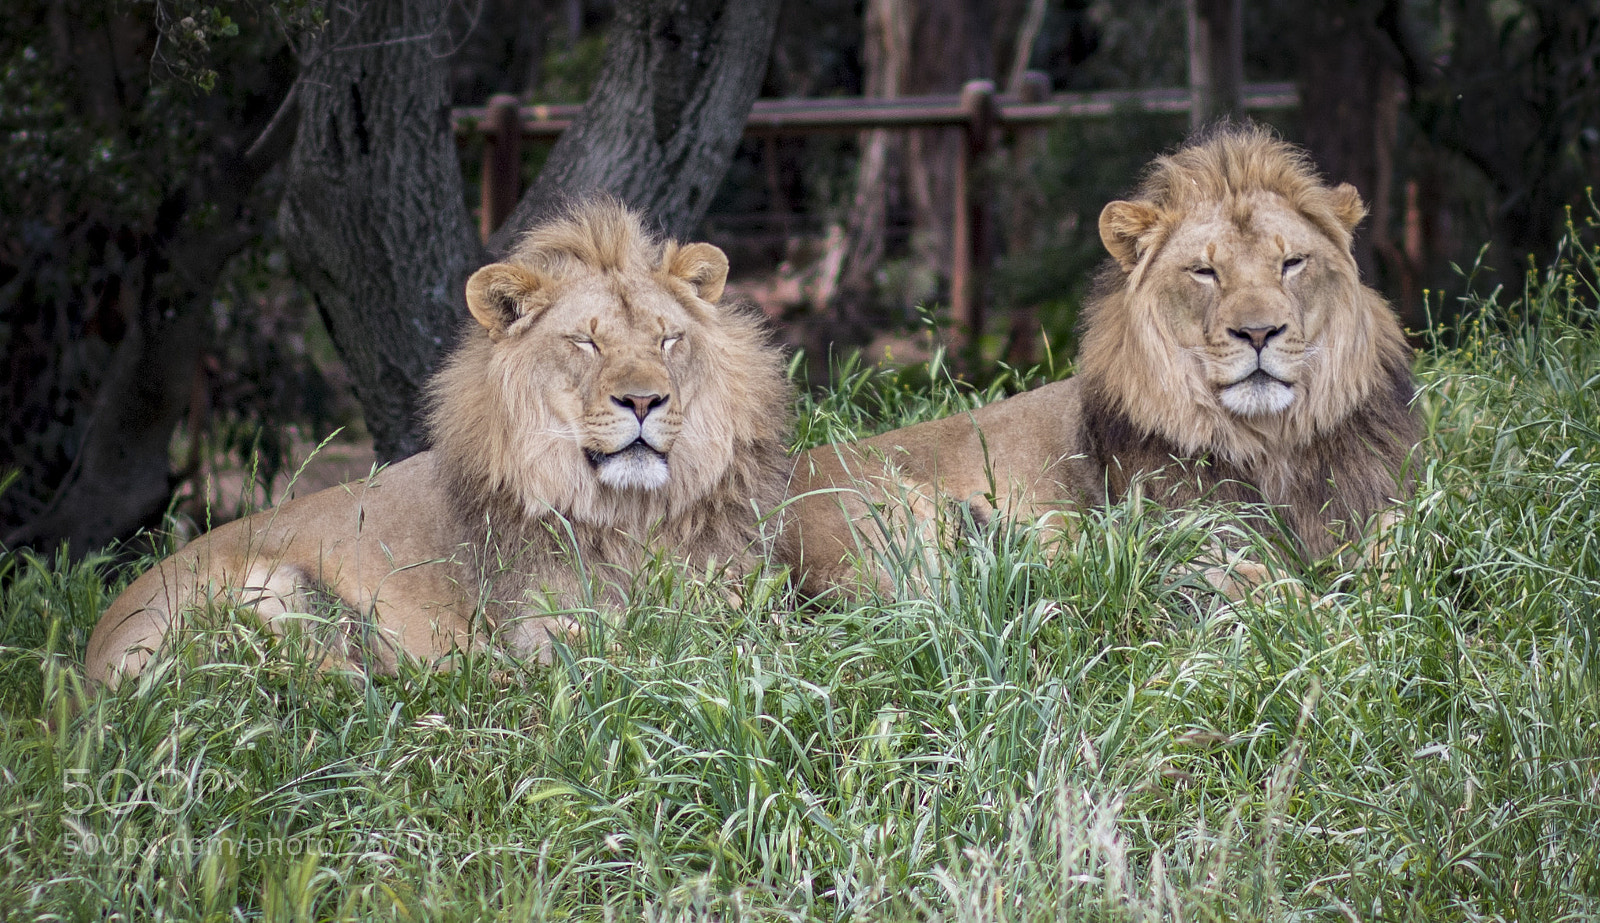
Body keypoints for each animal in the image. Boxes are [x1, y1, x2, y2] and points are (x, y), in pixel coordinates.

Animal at [86, 200, 793, 685]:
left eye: (668, 339)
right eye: (585, 342)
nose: (644, 401)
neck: (632, 514)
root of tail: (88, 668)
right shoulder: (545, 629)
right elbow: (644, 652)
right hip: (271, 588)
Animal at [784, 126, 1419, 598]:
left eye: (1291, 263)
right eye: (1205, 271)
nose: (1258, 331)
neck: (1272, 444)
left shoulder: (1387, 503)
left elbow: (1407, 542)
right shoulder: (1177, 537)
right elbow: (1256, 580)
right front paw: (1323, 614)